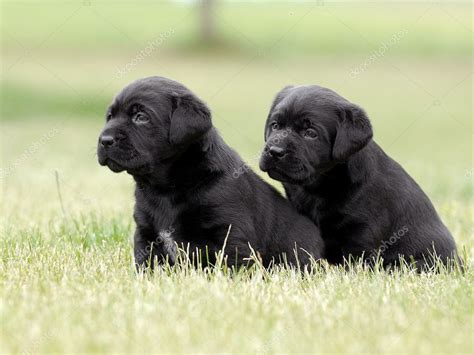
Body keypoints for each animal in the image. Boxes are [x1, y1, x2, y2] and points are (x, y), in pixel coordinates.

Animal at [96, 76, 326, 270]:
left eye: (140, 117)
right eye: (109, 116)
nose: (104, 140)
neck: (165, 188)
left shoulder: (229, 233)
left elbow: (232, 266)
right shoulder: (146, 233)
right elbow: (146, 265)